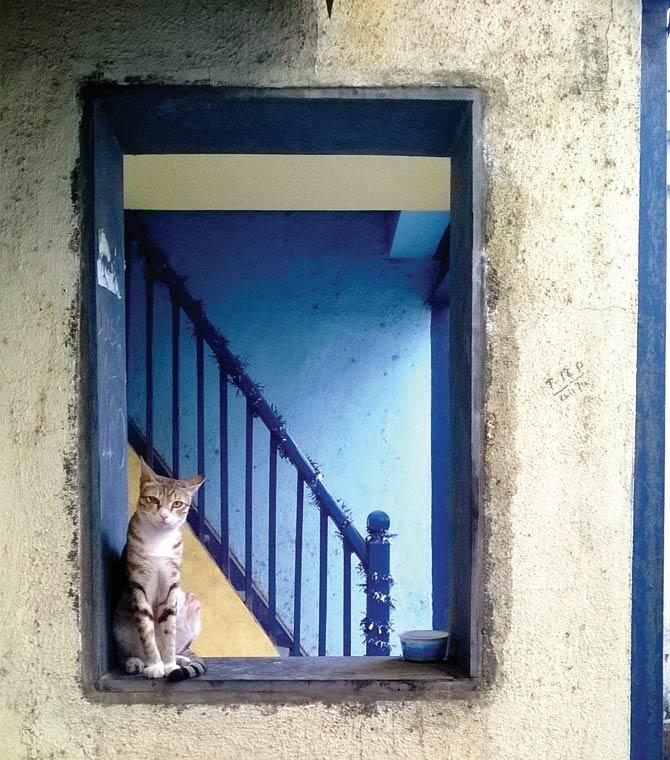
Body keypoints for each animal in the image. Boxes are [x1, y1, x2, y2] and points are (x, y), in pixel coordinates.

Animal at [114, 458, 206, 684]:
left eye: (177, 504)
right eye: (153, 499)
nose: (164, 515)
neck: (159, 539)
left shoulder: (170, 588)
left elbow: (167, 633)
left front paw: (170, 664)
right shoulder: (139, 586)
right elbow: (147, 633)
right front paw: (156, 666)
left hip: (192, 603)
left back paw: (180, 659)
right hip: (119, 626)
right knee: (125, 653)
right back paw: (135, 662)